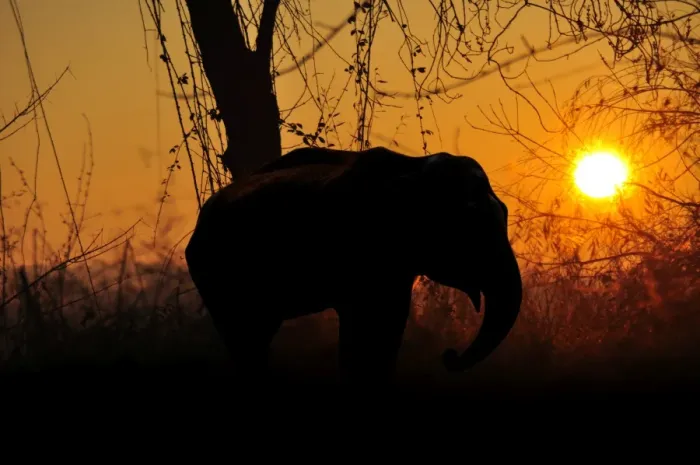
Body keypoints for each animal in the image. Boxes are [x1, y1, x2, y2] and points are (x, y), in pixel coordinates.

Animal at [184, 145, 523, 384]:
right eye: (472, 226)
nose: (449, 356)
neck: (414, 165)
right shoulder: (359, 248)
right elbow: (364, 322)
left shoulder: (395, 266)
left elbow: (389, 322)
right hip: (216, 273)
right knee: (245, 337)